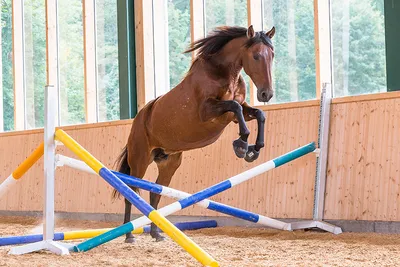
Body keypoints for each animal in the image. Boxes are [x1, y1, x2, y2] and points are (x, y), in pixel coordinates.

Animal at [112, 24, 276, 243]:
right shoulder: (207, 111)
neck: (224, 73)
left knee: (156, 193)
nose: (266, 94)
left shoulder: (235, 112)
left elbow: (258, 114)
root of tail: (139, 119)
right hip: (140, 160)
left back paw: (156, 233)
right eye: (256, 56)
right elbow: (236, 108)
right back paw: (129, 235)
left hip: (169, 163)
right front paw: (241, 145)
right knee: (131, 190)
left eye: (272, 55)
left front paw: (254, 149)